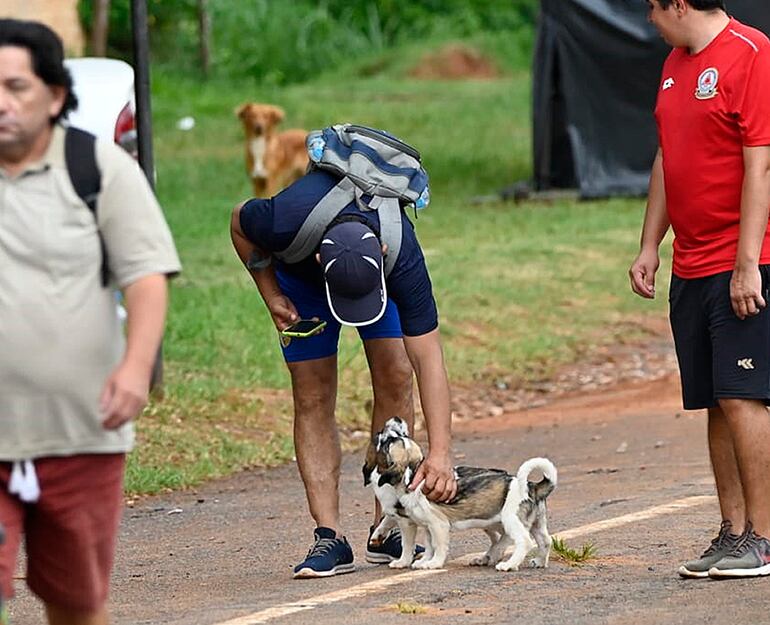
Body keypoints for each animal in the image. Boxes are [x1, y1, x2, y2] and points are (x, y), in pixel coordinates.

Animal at [364, 416, 556, 568]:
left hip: (511, 520)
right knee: (544, 540)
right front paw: (424, 561)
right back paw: (537, 562)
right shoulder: (427, 526)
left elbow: (432, 547)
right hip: (534, 523)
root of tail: (533, 487)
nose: (387, 425)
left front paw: (432, 564)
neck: (413, 477)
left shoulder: (435, 525)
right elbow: (429, 546)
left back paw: (508, 565)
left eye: (386, 443)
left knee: (524, 542)